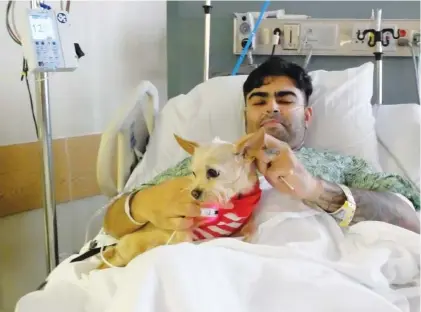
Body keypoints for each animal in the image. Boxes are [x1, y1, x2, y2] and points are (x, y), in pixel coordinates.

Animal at [97, 128, 264, 270]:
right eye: (194, 173)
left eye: (212, 172)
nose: (194, 193)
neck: (235, 200)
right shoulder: (185, 229)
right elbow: (186, 241)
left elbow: (249, 230)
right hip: (128, 251)